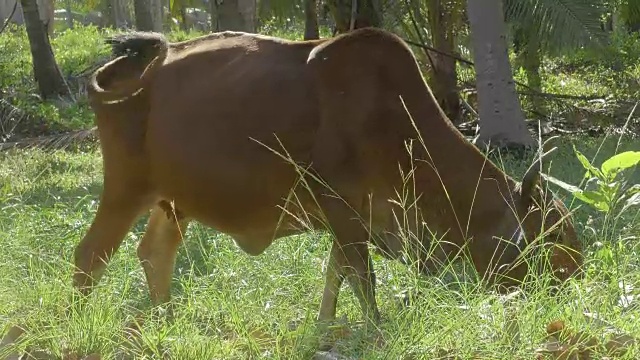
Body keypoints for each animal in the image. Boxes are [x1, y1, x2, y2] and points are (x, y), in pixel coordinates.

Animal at [75, 27, 584, 326]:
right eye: (555, 234)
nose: (575, 282)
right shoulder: (342, 209)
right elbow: (362, 279)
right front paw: (375, 330)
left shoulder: (355, 219)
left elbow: (335, 276)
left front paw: (325, 328)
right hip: (125, 189)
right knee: (89, 257)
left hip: (175, 201)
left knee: (154, 254)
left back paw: (168, 319)